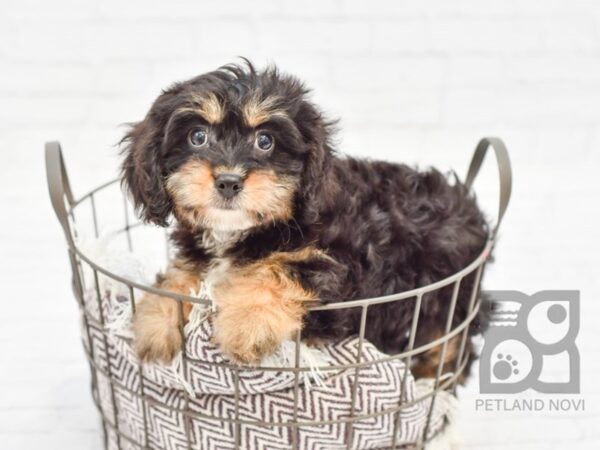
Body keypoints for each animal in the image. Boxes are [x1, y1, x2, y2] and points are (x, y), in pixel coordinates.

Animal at [120, 59, 488, 376]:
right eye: (197, 136)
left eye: (265, 141)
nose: (228, 181)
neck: (244, 232)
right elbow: (182, 276)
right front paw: (155, 320)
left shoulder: (338, 264)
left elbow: (282, 270)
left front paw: (246, 324)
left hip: (445, 298)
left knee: (452, 343)